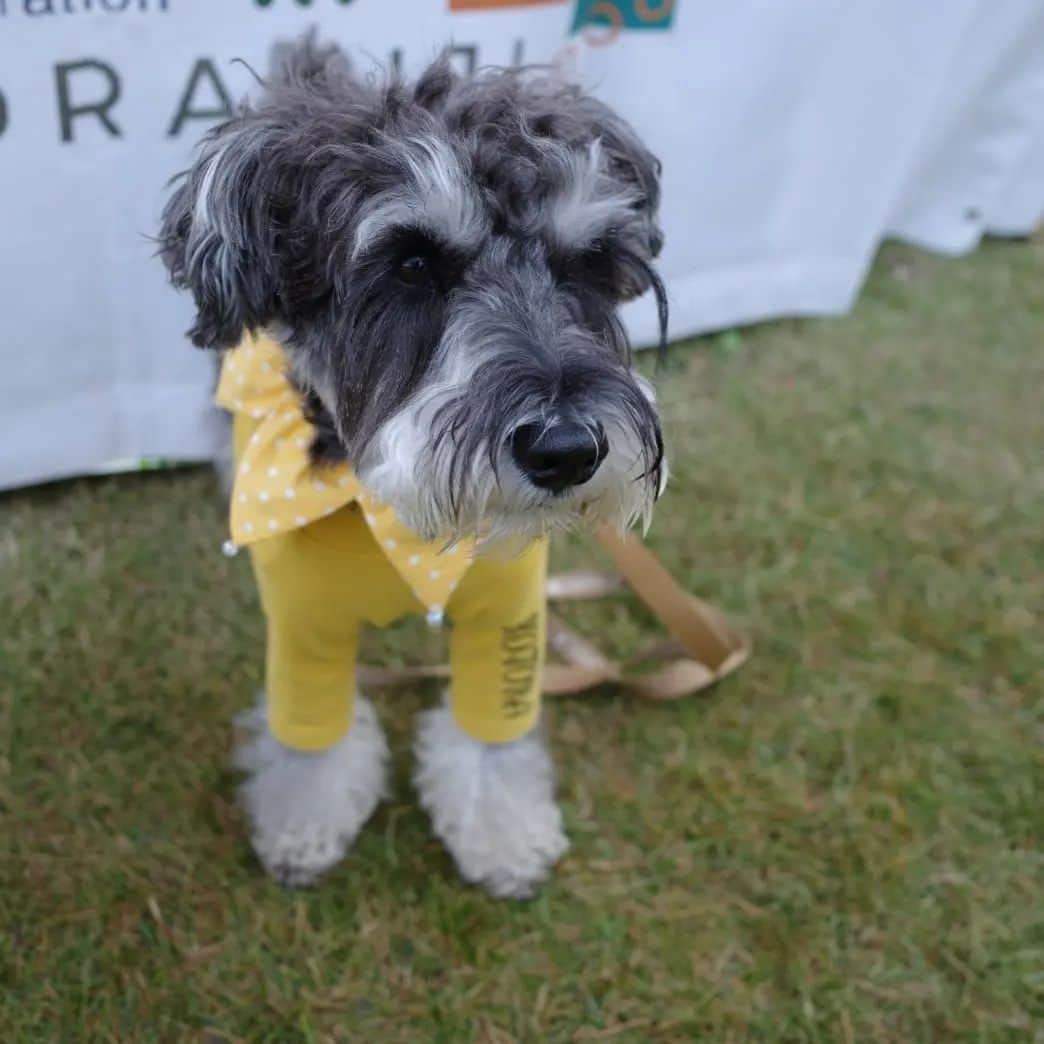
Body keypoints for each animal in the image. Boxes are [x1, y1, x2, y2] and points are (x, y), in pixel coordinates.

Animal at [160, 34, 668, 897]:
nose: (567, 450)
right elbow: (310, 738)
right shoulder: (304, 634)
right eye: (412, 265)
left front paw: (504, 838)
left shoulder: (507, 618)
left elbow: (493, 738)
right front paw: (303, 828)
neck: (395, 516)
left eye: (587, 263)